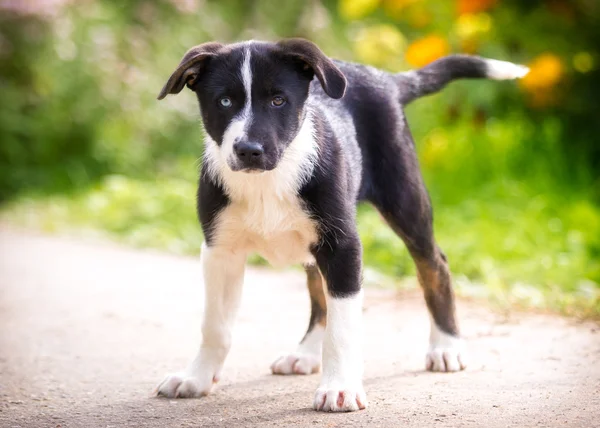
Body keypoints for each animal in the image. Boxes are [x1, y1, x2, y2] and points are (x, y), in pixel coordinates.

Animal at [156, 39, 528, 412]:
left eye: (278, 100)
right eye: (224, 101)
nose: (249, 151)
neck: (267, 182)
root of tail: (385, 79)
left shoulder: (343, 246)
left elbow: (343, 328)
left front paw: (340, 388)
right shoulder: (220, 249)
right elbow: (215, 326)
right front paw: (196, 378)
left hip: (404, 200)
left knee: (435, 265)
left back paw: (446, 347)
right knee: (319, 292)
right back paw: (304, 353)